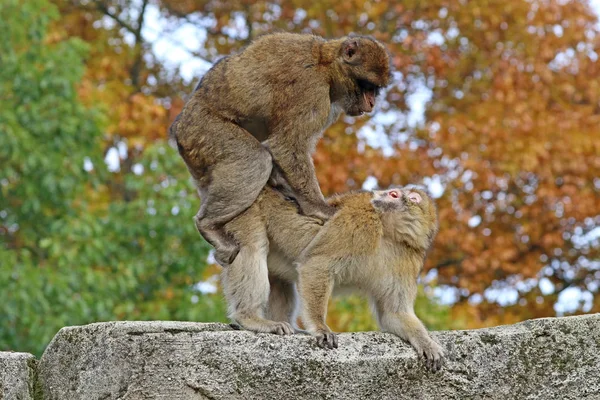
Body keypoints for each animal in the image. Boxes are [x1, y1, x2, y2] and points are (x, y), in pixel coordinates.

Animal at [170, 33, 394, 266]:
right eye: (368, 86)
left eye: (375, 89)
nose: (371, 103)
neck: (326, 64)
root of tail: (178, 126)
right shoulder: (311, 88)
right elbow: (286, 145)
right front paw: (318, 207)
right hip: (201, 130)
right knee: (255, 160)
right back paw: (207, 225)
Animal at [220, 185, 446, 372]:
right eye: (393, 193)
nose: (378, 193)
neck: (389, 234)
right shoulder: (358, 222)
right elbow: (317, 264)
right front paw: (320, 327)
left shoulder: (407, 259)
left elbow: (394, 313)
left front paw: (425, 342)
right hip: (244, 210)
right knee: (252, 247)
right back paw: (249, 317)